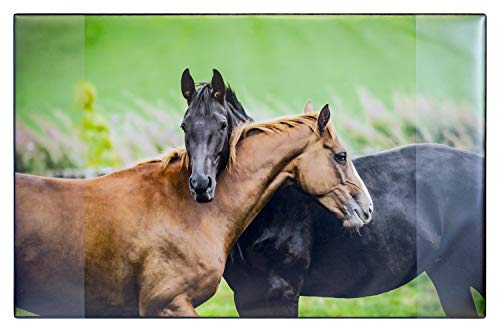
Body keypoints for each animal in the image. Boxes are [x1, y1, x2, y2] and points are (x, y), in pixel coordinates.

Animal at [180, 68, 484, 318]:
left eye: (222, 124)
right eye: (185, 126)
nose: (201, 184)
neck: (270, 209)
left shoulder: (282, 293)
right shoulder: (247, 297)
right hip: (448, 275)